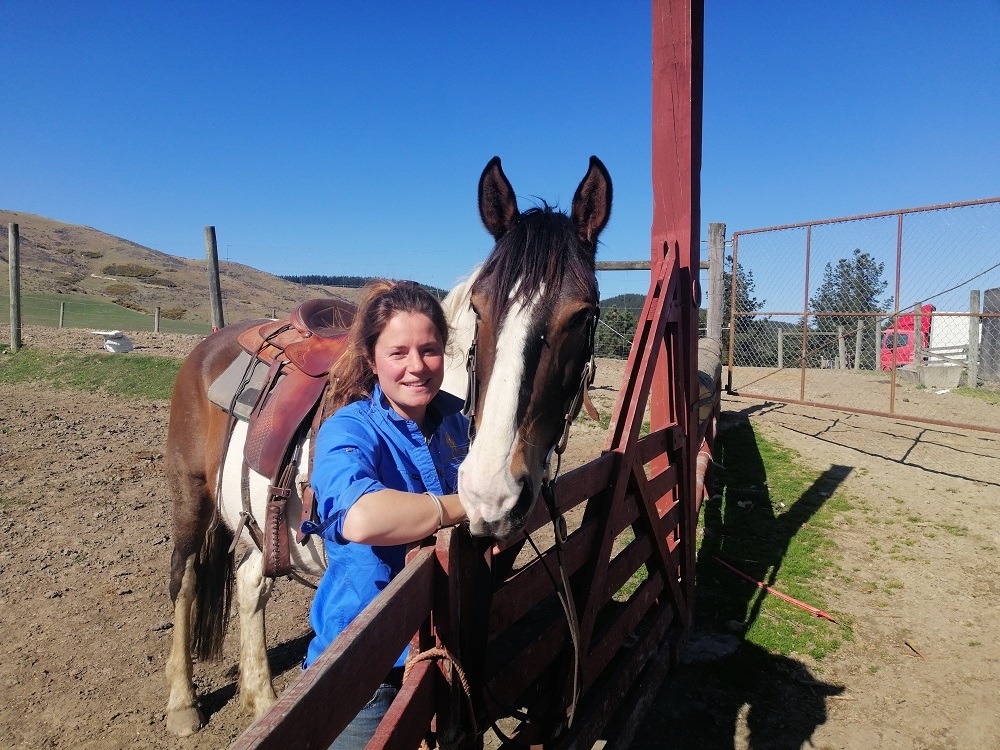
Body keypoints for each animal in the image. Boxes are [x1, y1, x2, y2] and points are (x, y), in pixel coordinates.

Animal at [162, 156, 608, 736]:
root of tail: (210, 345)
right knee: (185, 580)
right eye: (480, 310)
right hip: (190, 496)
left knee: (248, 582)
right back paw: (182, 703)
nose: (490, 492)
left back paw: (262, 701)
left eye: (583, 314)